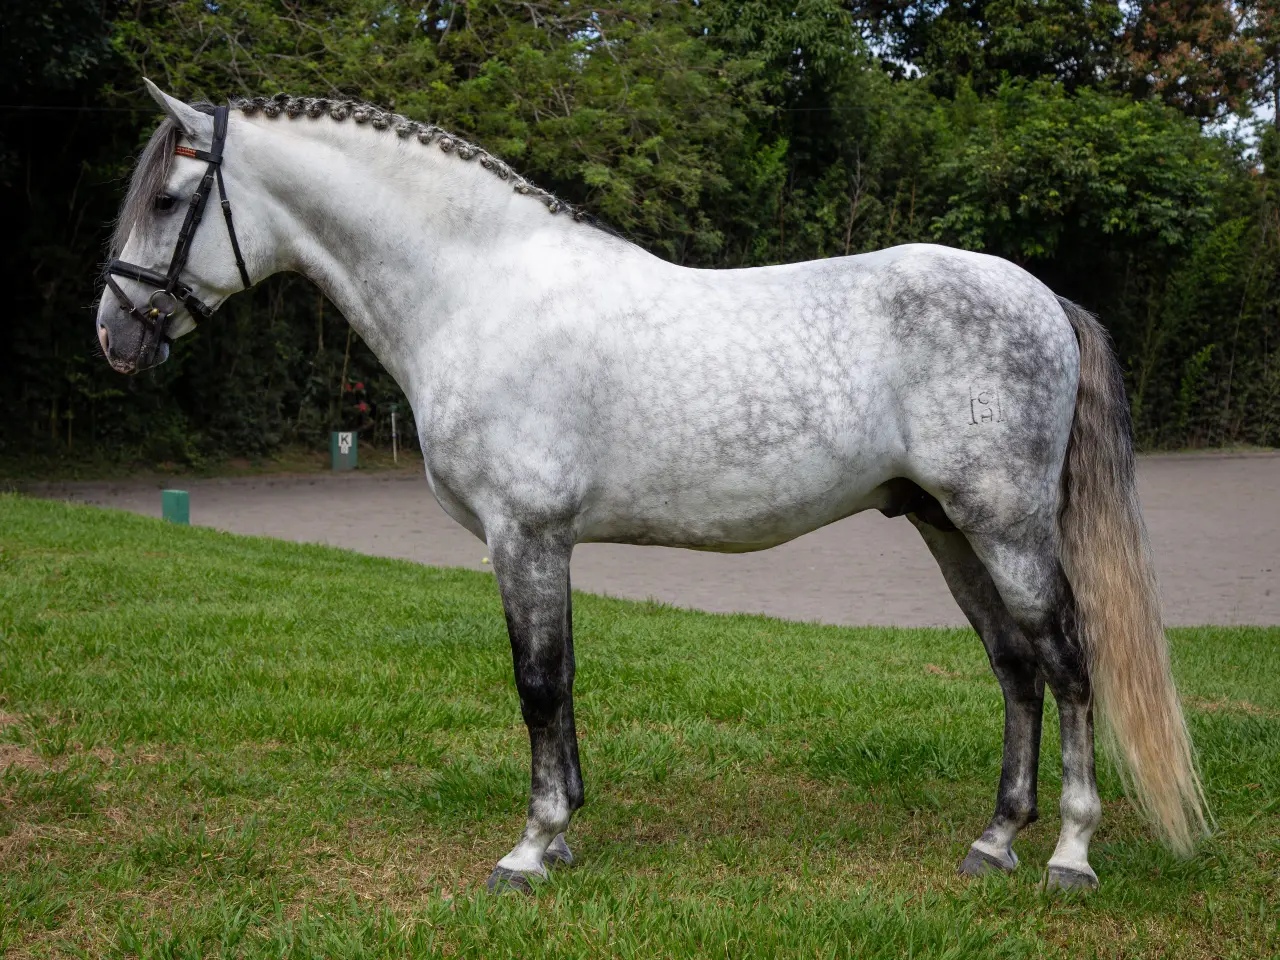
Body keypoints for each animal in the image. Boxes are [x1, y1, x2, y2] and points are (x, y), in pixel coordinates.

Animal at [96, 81, 1208, 893]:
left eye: (167, 201)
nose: (113, 337)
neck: (478, 291)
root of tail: (1039, 294)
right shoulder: (544, 543)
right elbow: (559, 681)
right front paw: (563, 830)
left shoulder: (524, 533)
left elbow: (537, 684)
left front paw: (529, 849)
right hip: (945, 525)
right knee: (1015, 668)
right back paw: (994, 841)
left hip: (1004, 525)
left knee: (1067, 663)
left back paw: (1068, 855)